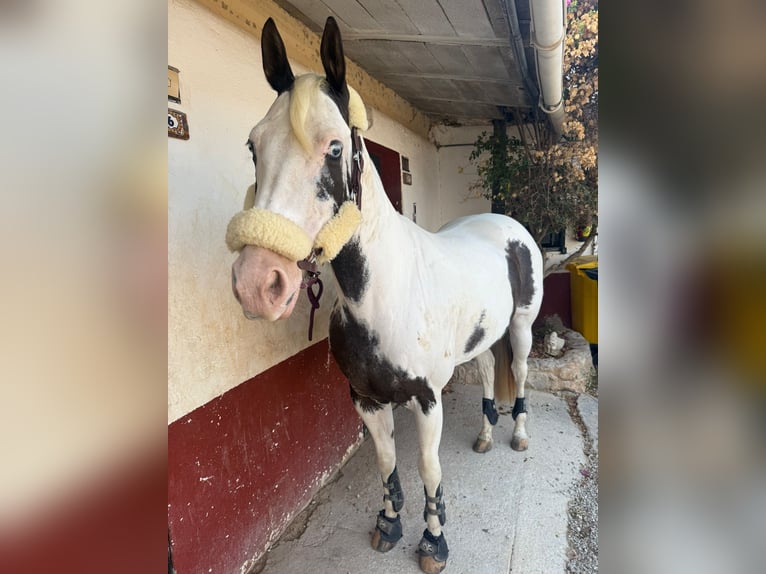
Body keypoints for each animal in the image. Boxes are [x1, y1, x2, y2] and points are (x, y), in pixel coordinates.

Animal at [227, 17, 544, 574]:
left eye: (335, 147)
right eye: (253, 146)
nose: (258, 282)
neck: (382, 296)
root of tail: (505, 224)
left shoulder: (427, 400)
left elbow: (428, 467)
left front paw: (434, 542)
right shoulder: (366, 399)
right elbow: (386, 460)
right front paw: (389, 525)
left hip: (522, 328)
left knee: (520, 371)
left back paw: (517, 434)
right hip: (481, 337)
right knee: (488, 370)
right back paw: (485, 436)